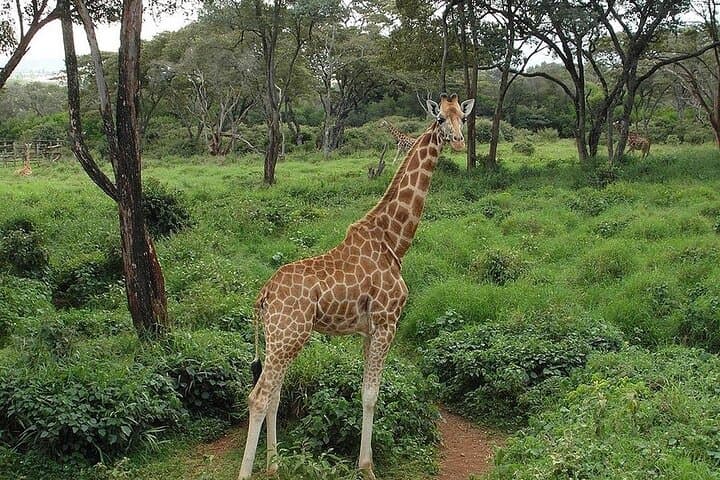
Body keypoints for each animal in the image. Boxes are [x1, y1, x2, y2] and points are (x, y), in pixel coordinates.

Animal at [237, 93, 474, 480]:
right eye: (440, 118)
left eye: (462, 118)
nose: (457, 141)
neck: (394, 242)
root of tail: (263, 296)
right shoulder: (387, 321)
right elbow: (371, 394)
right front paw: (367, 466)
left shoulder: (368, 329)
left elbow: (366, 391)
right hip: (288, 336)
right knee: (258, 397)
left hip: (281, 340)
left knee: (273, 395)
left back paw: (274, 466)